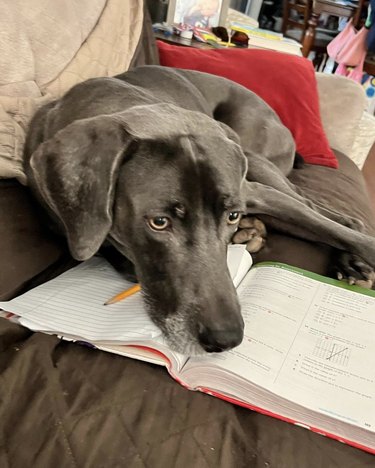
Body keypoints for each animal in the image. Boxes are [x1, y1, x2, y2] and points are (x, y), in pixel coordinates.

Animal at [24, 66, 375, 354]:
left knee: (326, 212)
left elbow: (329, 228)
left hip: (255, 160)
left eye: (231, 215)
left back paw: (350, 260)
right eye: (159, 222)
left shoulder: (250, 192)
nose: (227, 339)